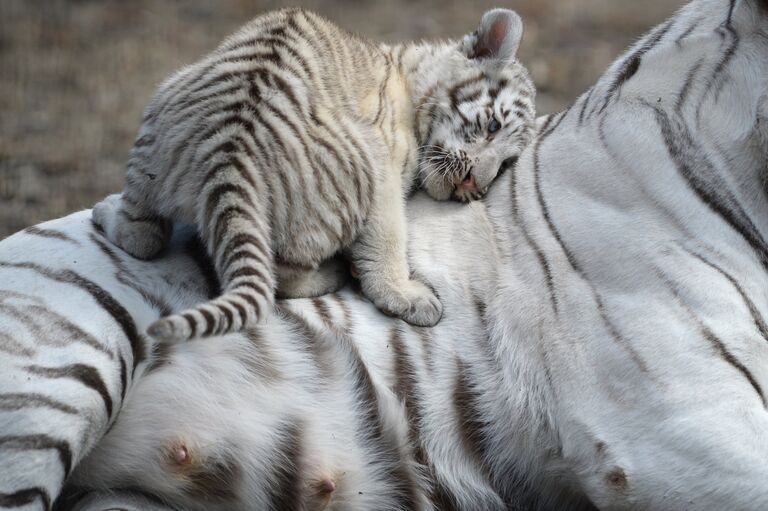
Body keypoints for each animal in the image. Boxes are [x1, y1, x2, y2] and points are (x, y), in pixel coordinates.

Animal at [4, 0, 768, 510]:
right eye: (487, 129)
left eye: (508, 158)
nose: (472, 186)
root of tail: (232, 157)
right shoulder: (675, 429)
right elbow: (387, 230)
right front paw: (407, 290)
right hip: (53, 388)